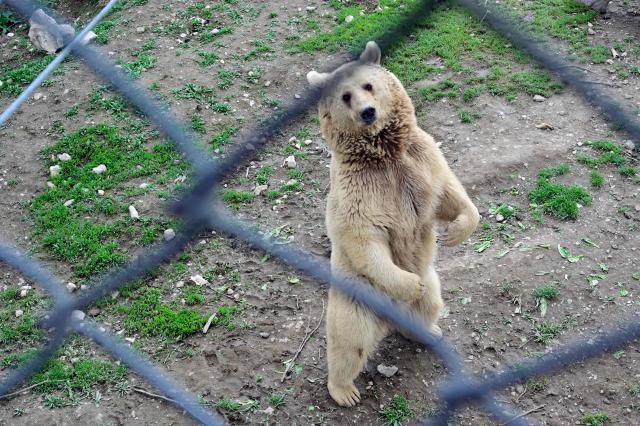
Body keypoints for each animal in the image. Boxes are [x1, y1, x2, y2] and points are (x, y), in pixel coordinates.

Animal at [306, 41, 480, 407]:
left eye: (369, 85)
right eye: (345, 96)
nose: (368, 112)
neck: (384, 153)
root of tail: (389, 320)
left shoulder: (422, 160)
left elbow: (449, 194)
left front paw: (456, 231)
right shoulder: (362, 192)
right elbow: (364, 238)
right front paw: (410, 284)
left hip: (432, 286)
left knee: (429, 306)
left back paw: (429, 331)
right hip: (356, 301)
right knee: (349, 344)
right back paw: (344, 391)